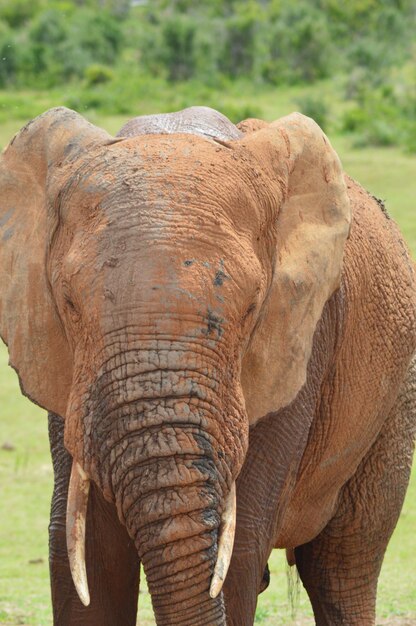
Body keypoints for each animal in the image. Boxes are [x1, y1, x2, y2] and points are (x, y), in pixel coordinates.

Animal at [0, 105, 414, 620]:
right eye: (70, 304)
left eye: (252, 308)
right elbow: (86, 552)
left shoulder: (302, 338)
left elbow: (238, 549)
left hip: (395, 395)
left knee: (344, 564)